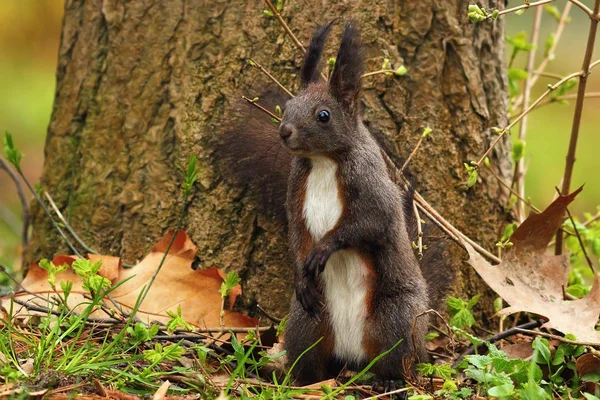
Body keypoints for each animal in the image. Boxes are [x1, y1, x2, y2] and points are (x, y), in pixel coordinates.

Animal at [218, 19, 452, 390]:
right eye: (287, 105)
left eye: (324, 115)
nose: (284, 132)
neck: (324, 161)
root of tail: (352, 356)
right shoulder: (295, 194)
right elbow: (297, 234)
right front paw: (303, 270)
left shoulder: (372, 188)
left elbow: (368, 223)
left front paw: (324, 249)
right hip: (306, 323)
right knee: (310, 359)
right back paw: (299, 380)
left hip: (395, 319)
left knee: (398, 358)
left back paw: (390, 381)